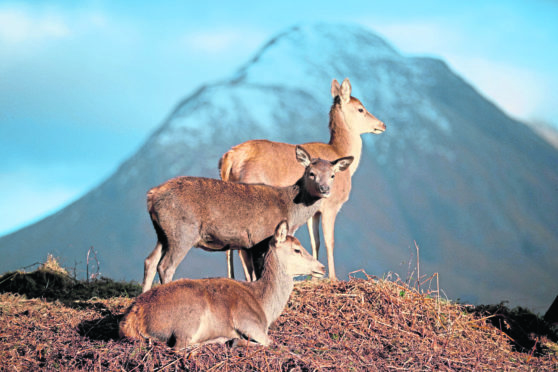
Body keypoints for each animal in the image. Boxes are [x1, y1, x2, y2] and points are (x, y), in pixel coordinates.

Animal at [121, 219, 328, 348]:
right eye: (297, 250)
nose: (322, 267)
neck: (265, 307)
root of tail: (133, 316)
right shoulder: (248, 322)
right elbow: (270, 342)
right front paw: (235, 341)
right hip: (188, 320)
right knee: (179, 346)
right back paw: (220, 339)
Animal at [142, 144, 352, 292]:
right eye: (311, 173)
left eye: (332, 175)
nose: (325, 189)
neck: (290, 210)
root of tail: (151, 195)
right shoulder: (262, 237)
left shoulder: (250, 244)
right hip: (183, 232)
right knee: (165, 266)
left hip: (163, 233)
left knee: (150, 261)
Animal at [221, 79, 388, 282]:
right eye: (360, 108)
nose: (382, 124)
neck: (340, 153)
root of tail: (229, 158)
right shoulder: (331, 204)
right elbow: (329, 240)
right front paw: (333, 277)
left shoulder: (313, 211)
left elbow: (315, 241)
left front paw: (314, 277)